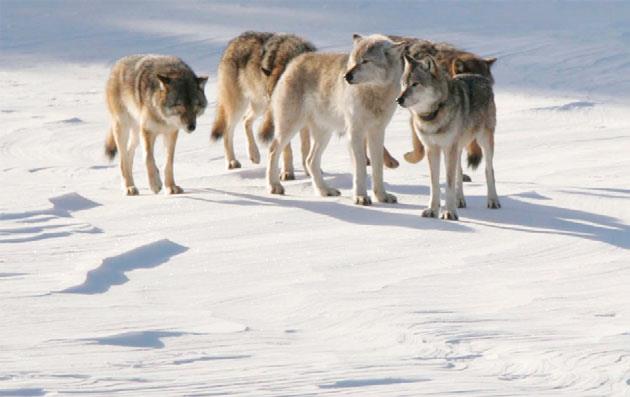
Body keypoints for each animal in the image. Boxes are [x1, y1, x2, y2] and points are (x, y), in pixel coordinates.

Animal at [105, 54, 209, 195]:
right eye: (179, 105)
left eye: (195, 105)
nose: (191, 127)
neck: (163, 117)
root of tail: (118, 64)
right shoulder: (147, 131)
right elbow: (148, 158)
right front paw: (155, 184)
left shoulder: (171, 133)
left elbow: (168, 162)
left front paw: (170, 186)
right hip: (123, 128)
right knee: (123, 159)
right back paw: (129, 187)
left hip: (136, 134)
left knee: (128, 155)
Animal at [212, 31, 318, 179]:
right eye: (273, 97)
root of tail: (233, 42)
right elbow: (287, 149)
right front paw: (287, 173)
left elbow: (305, 147)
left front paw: (309, 171)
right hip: (240, 106)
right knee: (228, 131)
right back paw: (232, 161)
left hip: (259, 106)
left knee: (246, 120)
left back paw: (254, 155)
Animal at [266, 34, 408, 204]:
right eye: (353, 61)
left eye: (365, 61)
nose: (346, 76)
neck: (374, 93)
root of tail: (295, 60)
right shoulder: (355, 133)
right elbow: (360, 167)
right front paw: (361, 197)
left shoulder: (377, 132)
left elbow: (378, 168)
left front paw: (381, 196)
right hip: (290, 128)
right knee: (272, 151)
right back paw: (274, 186)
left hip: (324, 134)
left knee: (310, 161)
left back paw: (325, 191)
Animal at [400, 53, 504, 220]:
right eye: (403, 84)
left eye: (415, 84)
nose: (398, 99)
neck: (433, 115)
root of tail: (479, 76)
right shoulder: (432, 149)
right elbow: (435, 184)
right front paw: (432, 210)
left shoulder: (449, 148)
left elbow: (448, 184)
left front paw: (449, 212)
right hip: (458, 148)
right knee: (459, 172)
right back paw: (459, 200)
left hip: (484, 141)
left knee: (489, 170)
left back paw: (493, 201)